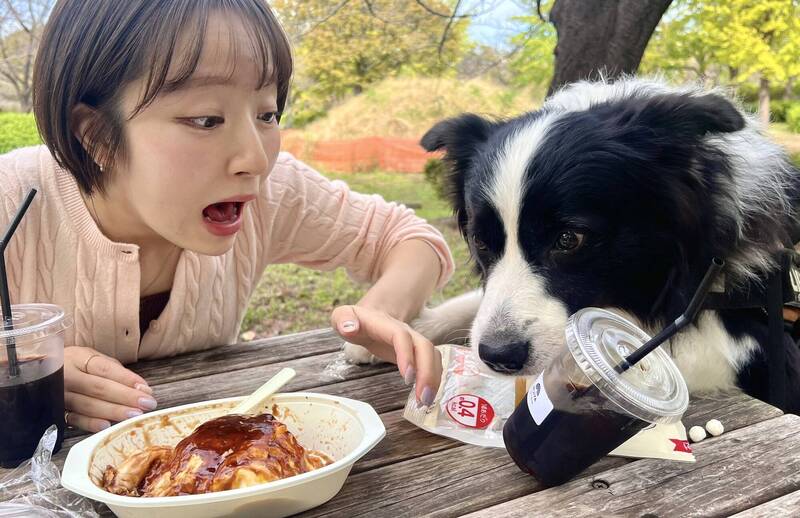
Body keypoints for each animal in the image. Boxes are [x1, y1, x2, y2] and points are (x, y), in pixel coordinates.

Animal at [346, 77, 800, 414]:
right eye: (480, 240)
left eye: (569, 239)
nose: (498, 356)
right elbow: (476, 301)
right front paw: (397, 331)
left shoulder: (762, 343)